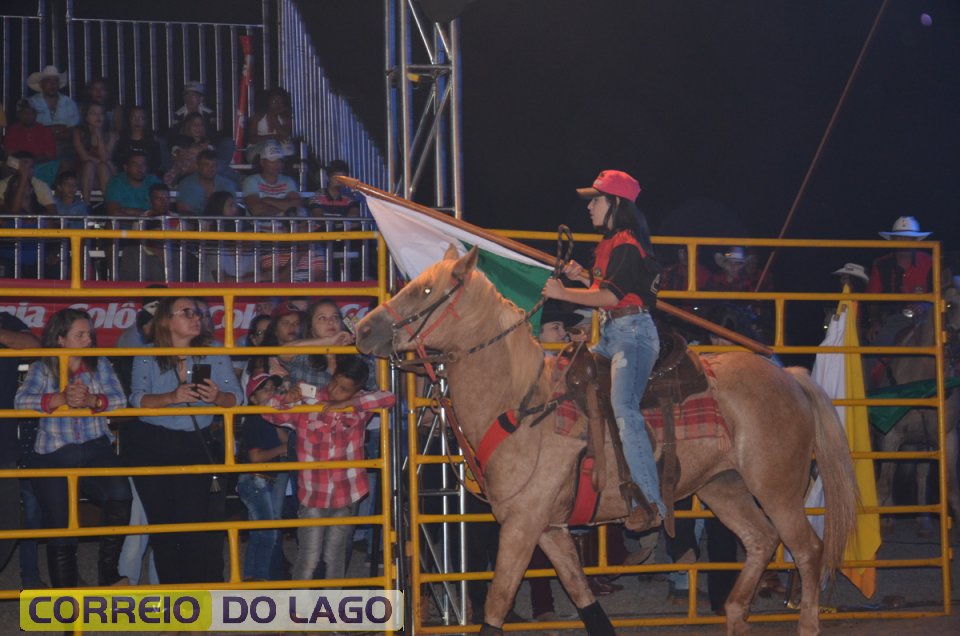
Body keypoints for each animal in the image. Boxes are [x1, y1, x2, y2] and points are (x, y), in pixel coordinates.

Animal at [356, 246, 858, 636]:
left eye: (424, 291)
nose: (363, 330)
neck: (522, 406)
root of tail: (791, 378)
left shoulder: (522, 525)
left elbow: (497, 604)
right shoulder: (550, 529)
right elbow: (584, 599)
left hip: (777, 488)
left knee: (807, 550)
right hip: (724, 486)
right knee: (759, 540)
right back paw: (735, 611)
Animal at [872, 279, 960, 536]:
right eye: (949, 304)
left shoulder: (948, 437)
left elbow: (952, 490)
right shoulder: (890, 437)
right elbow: (883, 487)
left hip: (922, 443)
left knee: (921, 475)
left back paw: (923, 521)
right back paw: (889, 520)